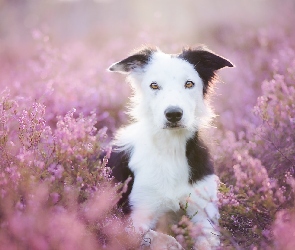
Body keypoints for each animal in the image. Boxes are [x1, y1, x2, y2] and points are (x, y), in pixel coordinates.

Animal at [107, 45, 234, 248]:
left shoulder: (205, 215)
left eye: (189, 84)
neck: (171, 149)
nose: (173, 114)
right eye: (154, 85)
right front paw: (171, 243)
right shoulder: (134, 218)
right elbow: (157, 236)